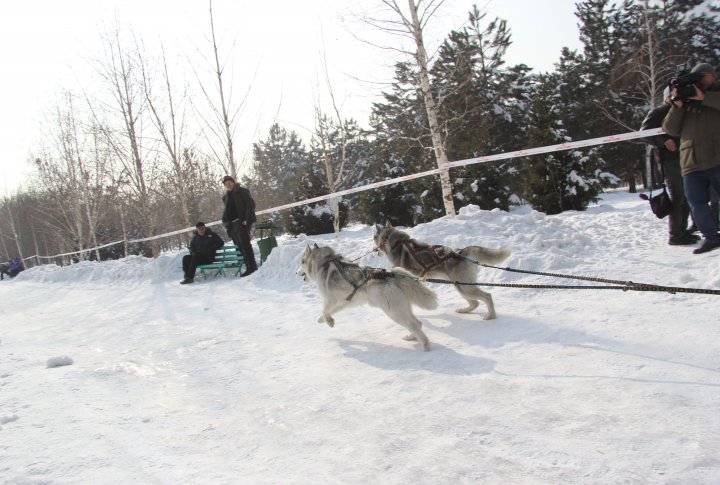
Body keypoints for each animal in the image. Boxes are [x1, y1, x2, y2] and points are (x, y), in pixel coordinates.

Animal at [296, 244, 438, 350]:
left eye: (301, 262)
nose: (296, 273)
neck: (323, 262)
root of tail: (390, 274)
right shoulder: (343, 302)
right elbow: (326, 313)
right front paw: (322, 320)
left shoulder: (330, 299)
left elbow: (325, 311)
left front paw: (329, 321)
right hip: (402, 308)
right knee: (417, 323)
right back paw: (411, 337)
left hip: (393, 312)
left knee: (413, 325)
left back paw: (425, 345)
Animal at [374, 222, 510, 318]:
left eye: (374, 238)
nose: (375, 251)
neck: (395, 242)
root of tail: (460, 252)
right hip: (459, 286)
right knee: (475, 303)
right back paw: (463, 310)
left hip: (464, 288)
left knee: (487, 296)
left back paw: (491, 316)